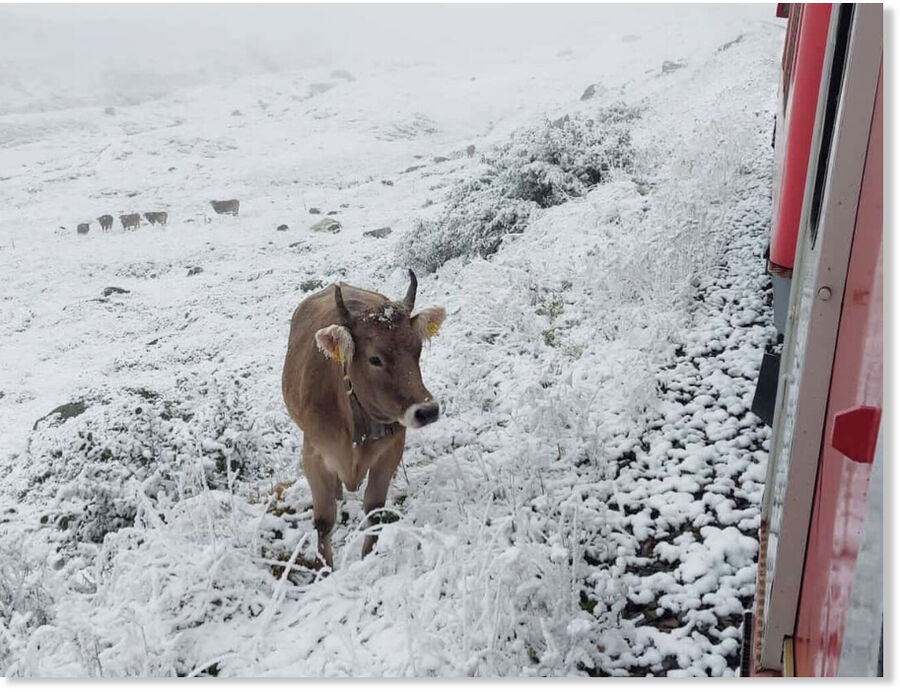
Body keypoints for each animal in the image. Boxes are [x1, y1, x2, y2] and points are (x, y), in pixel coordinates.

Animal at [282, 270, 445, 567]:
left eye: (418, 349)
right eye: (374, 359)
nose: (427, 410)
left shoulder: (391, 450)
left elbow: (374, 508)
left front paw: (367, 556)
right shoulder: (314, 453)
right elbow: (324, 520)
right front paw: (326, 569)